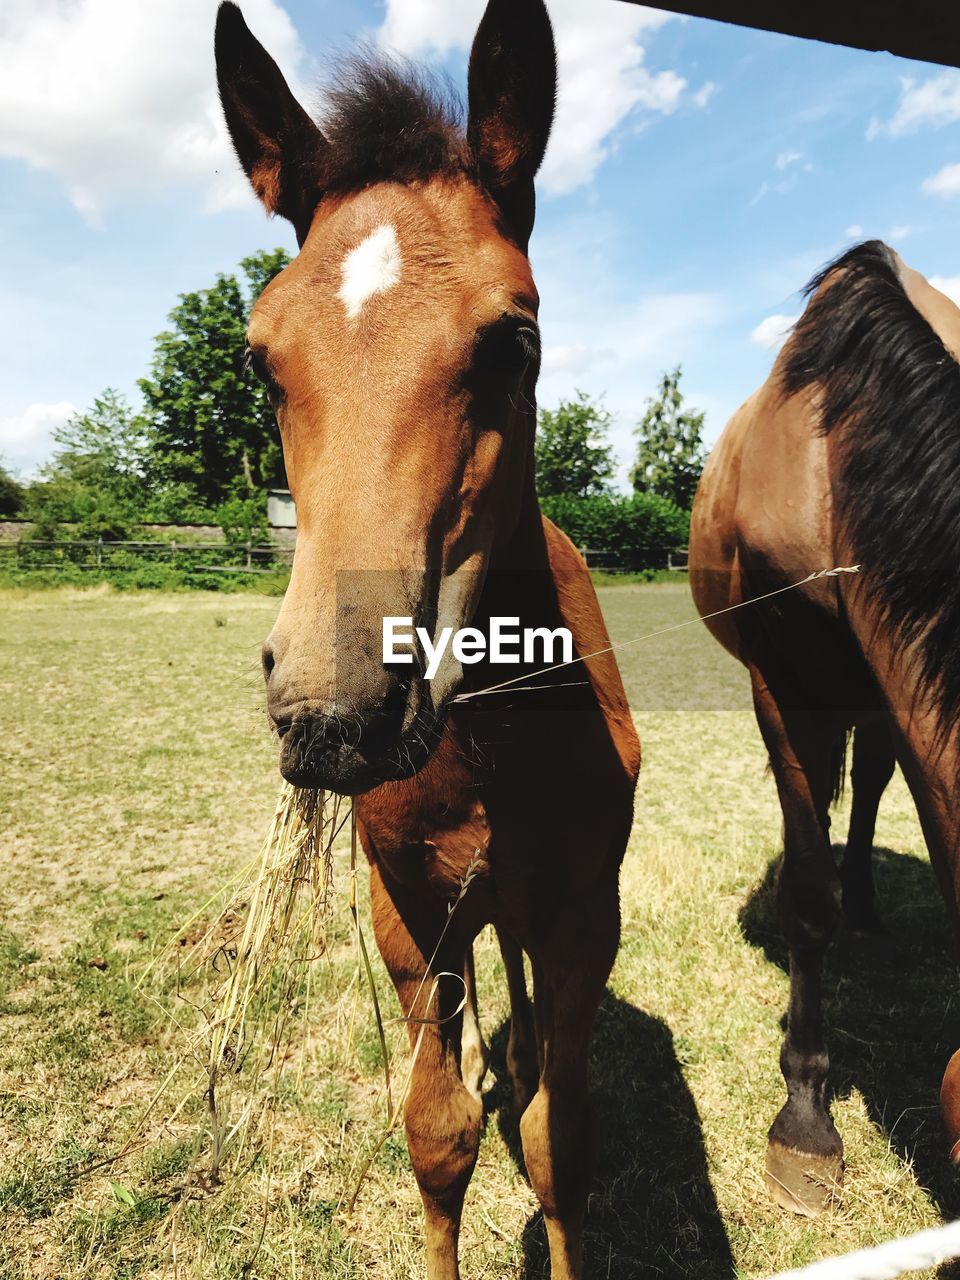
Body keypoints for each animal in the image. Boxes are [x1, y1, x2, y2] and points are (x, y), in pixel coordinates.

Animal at [213, 5, 642, 1274]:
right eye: (259, 358)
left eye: (514, 342)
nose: (332, 713)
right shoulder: (410, 917)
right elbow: (439, 1131)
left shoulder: (583, 915)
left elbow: (557, 1140)